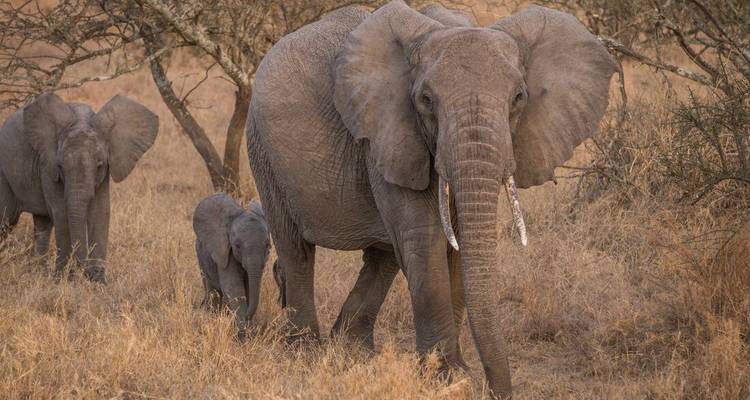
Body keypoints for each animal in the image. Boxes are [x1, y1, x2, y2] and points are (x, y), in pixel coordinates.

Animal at [0, 92, 158, 283]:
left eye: (99, 165)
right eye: (60, 166)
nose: (85, 273)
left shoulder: (105, 172)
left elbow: (100, 212)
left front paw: (98, 282)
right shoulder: (48, 166)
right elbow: (62, 212)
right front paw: (63, 280)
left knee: (42, 223)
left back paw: (38, 273)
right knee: (6, 218)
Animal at [193, 194, 271, 335]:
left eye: (267, 245)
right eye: (237, 245)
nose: (248, 317)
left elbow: (249, 288)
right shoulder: (225, 252)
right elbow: (234, 287)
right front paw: (243, 333)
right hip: (200, 256)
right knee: (211, 289)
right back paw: (212, 314)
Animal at [245, 1, 616, 398]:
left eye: (519, 98)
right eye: (426, 100)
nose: (495, 390)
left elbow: (457, 243)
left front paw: (455, 372)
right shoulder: (387, 132)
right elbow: (426, 238)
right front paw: (445, 377)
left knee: (382, 256)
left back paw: (351, 351)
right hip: (263, 152)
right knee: (296, 247)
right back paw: (304, 351)